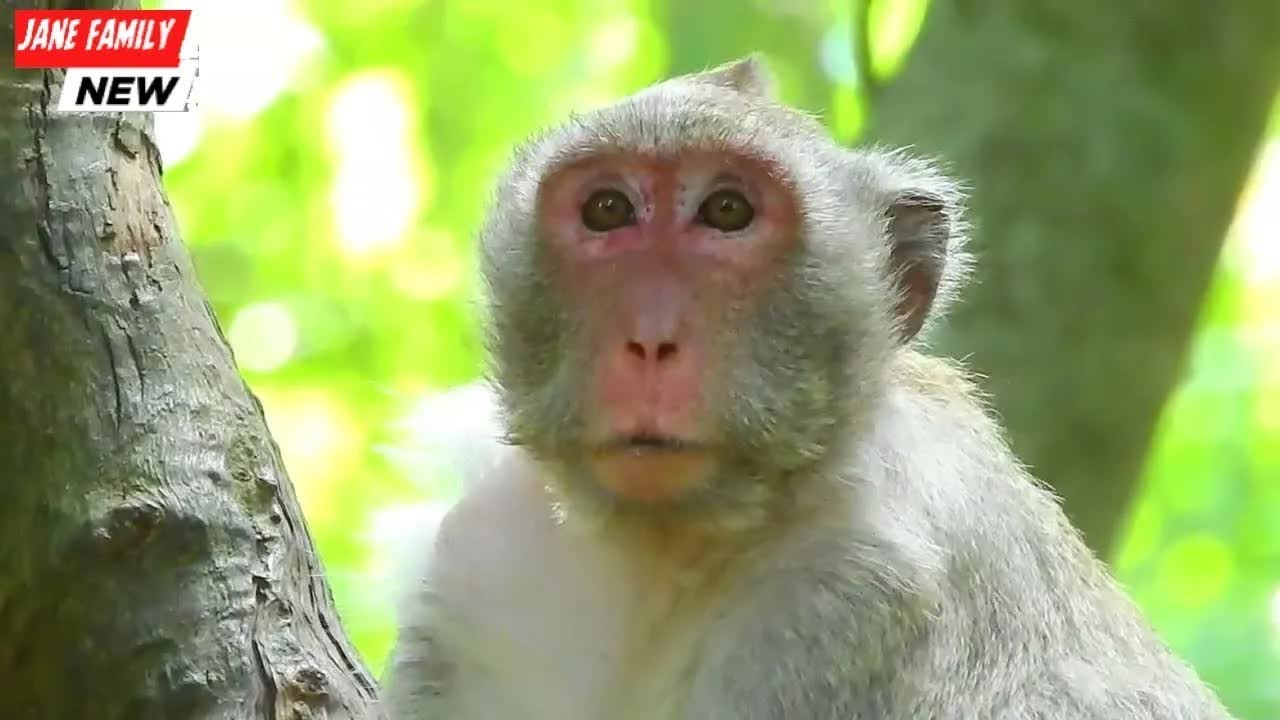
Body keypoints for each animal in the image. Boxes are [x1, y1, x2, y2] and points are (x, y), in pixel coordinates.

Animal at [382, 55, 1234, 720]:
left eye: (727, 210)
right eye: (609, 208)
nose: (651, 338)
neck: (667, 544)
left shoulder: (846, 602)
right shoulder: (482, 559)